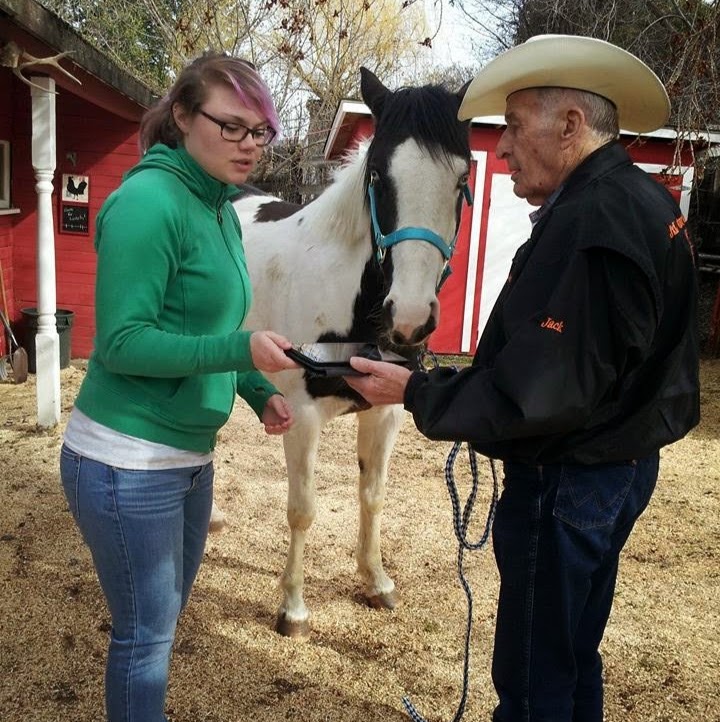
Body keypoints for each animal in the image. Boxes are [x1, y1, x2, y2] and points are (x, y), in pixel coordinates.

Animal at [214, 67, 472, 636]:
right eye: (378, 175)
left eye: (462, 180)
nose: (410, 318)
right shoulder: (303, 416)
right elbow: (303, 509)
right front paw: (292, 608)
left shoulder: (386, 411)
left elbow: (372, 496)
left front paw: (376, 581)